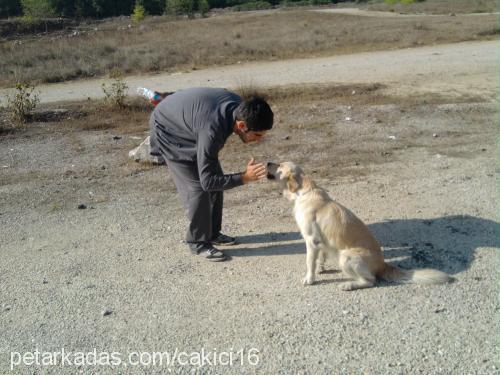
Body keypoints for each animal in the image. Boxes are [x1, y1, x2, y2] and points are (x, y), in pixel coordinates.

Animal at [268, 162, 452, 290]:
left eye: (280, 165)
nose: (268, 162)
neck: (303, 192)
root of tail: (383, 264)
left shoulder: (311, 239)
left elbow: (309, 262)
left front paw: (309, 278)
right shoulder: (319, 241)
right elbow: (321, 256)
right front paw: (320, 269)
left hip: (346, 257)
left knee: (371, 280)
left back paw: (348, 285)